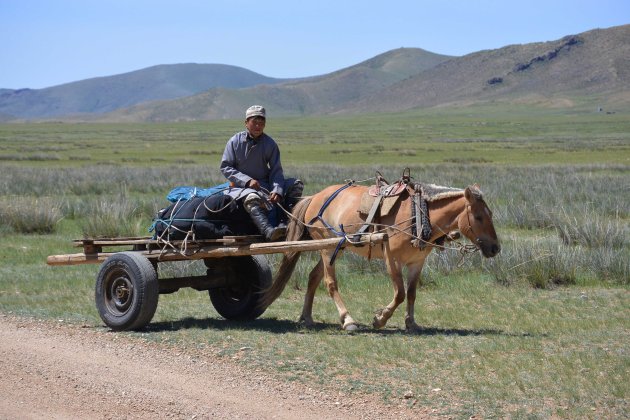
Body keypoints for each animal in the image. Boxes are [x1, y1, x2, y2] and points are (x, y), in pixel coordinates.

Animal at [260, 180, 502, 332]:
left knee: (312, 278)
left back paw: (307, 317)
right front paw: (380, 319)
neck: (418, 215)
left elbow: (412, 294)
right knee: (330, 283)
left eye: (490, 214)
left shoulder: (417, 262)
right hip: (327, 248)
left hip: (334, 248)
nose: (495, 248)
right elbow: (400, 293)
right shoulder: (392, 258)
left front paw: (411, 323)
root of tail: (314, 197)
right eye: (478, 217)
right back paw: (347, 320)